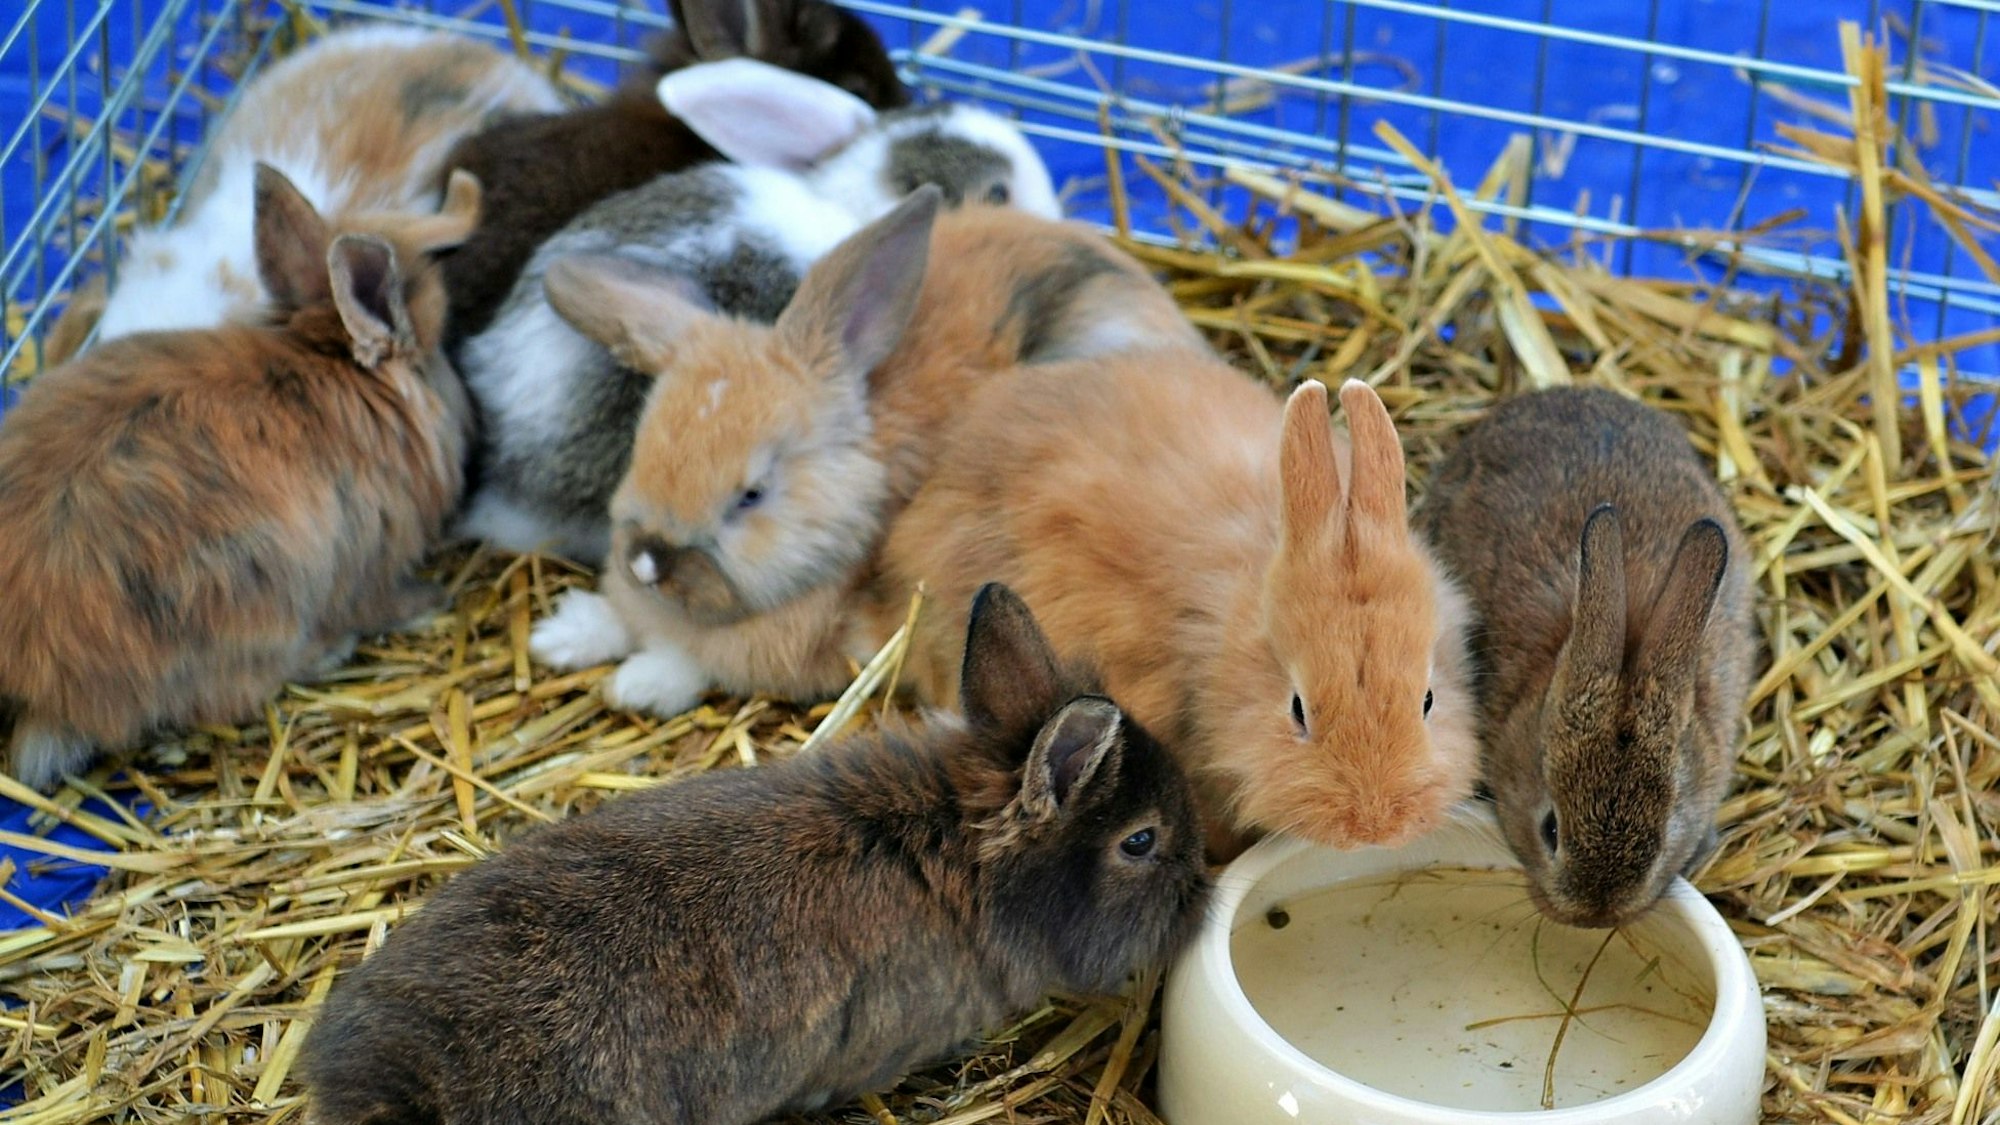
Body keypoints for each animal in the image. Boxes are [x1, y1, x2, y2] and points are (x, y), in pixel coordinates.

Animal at [523, 190, 1206, 720]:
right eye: (642, 448)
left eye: (751, 494)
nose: (646, 565)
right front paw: (557, 636)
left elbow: (691, 661)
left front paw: (636, 683)